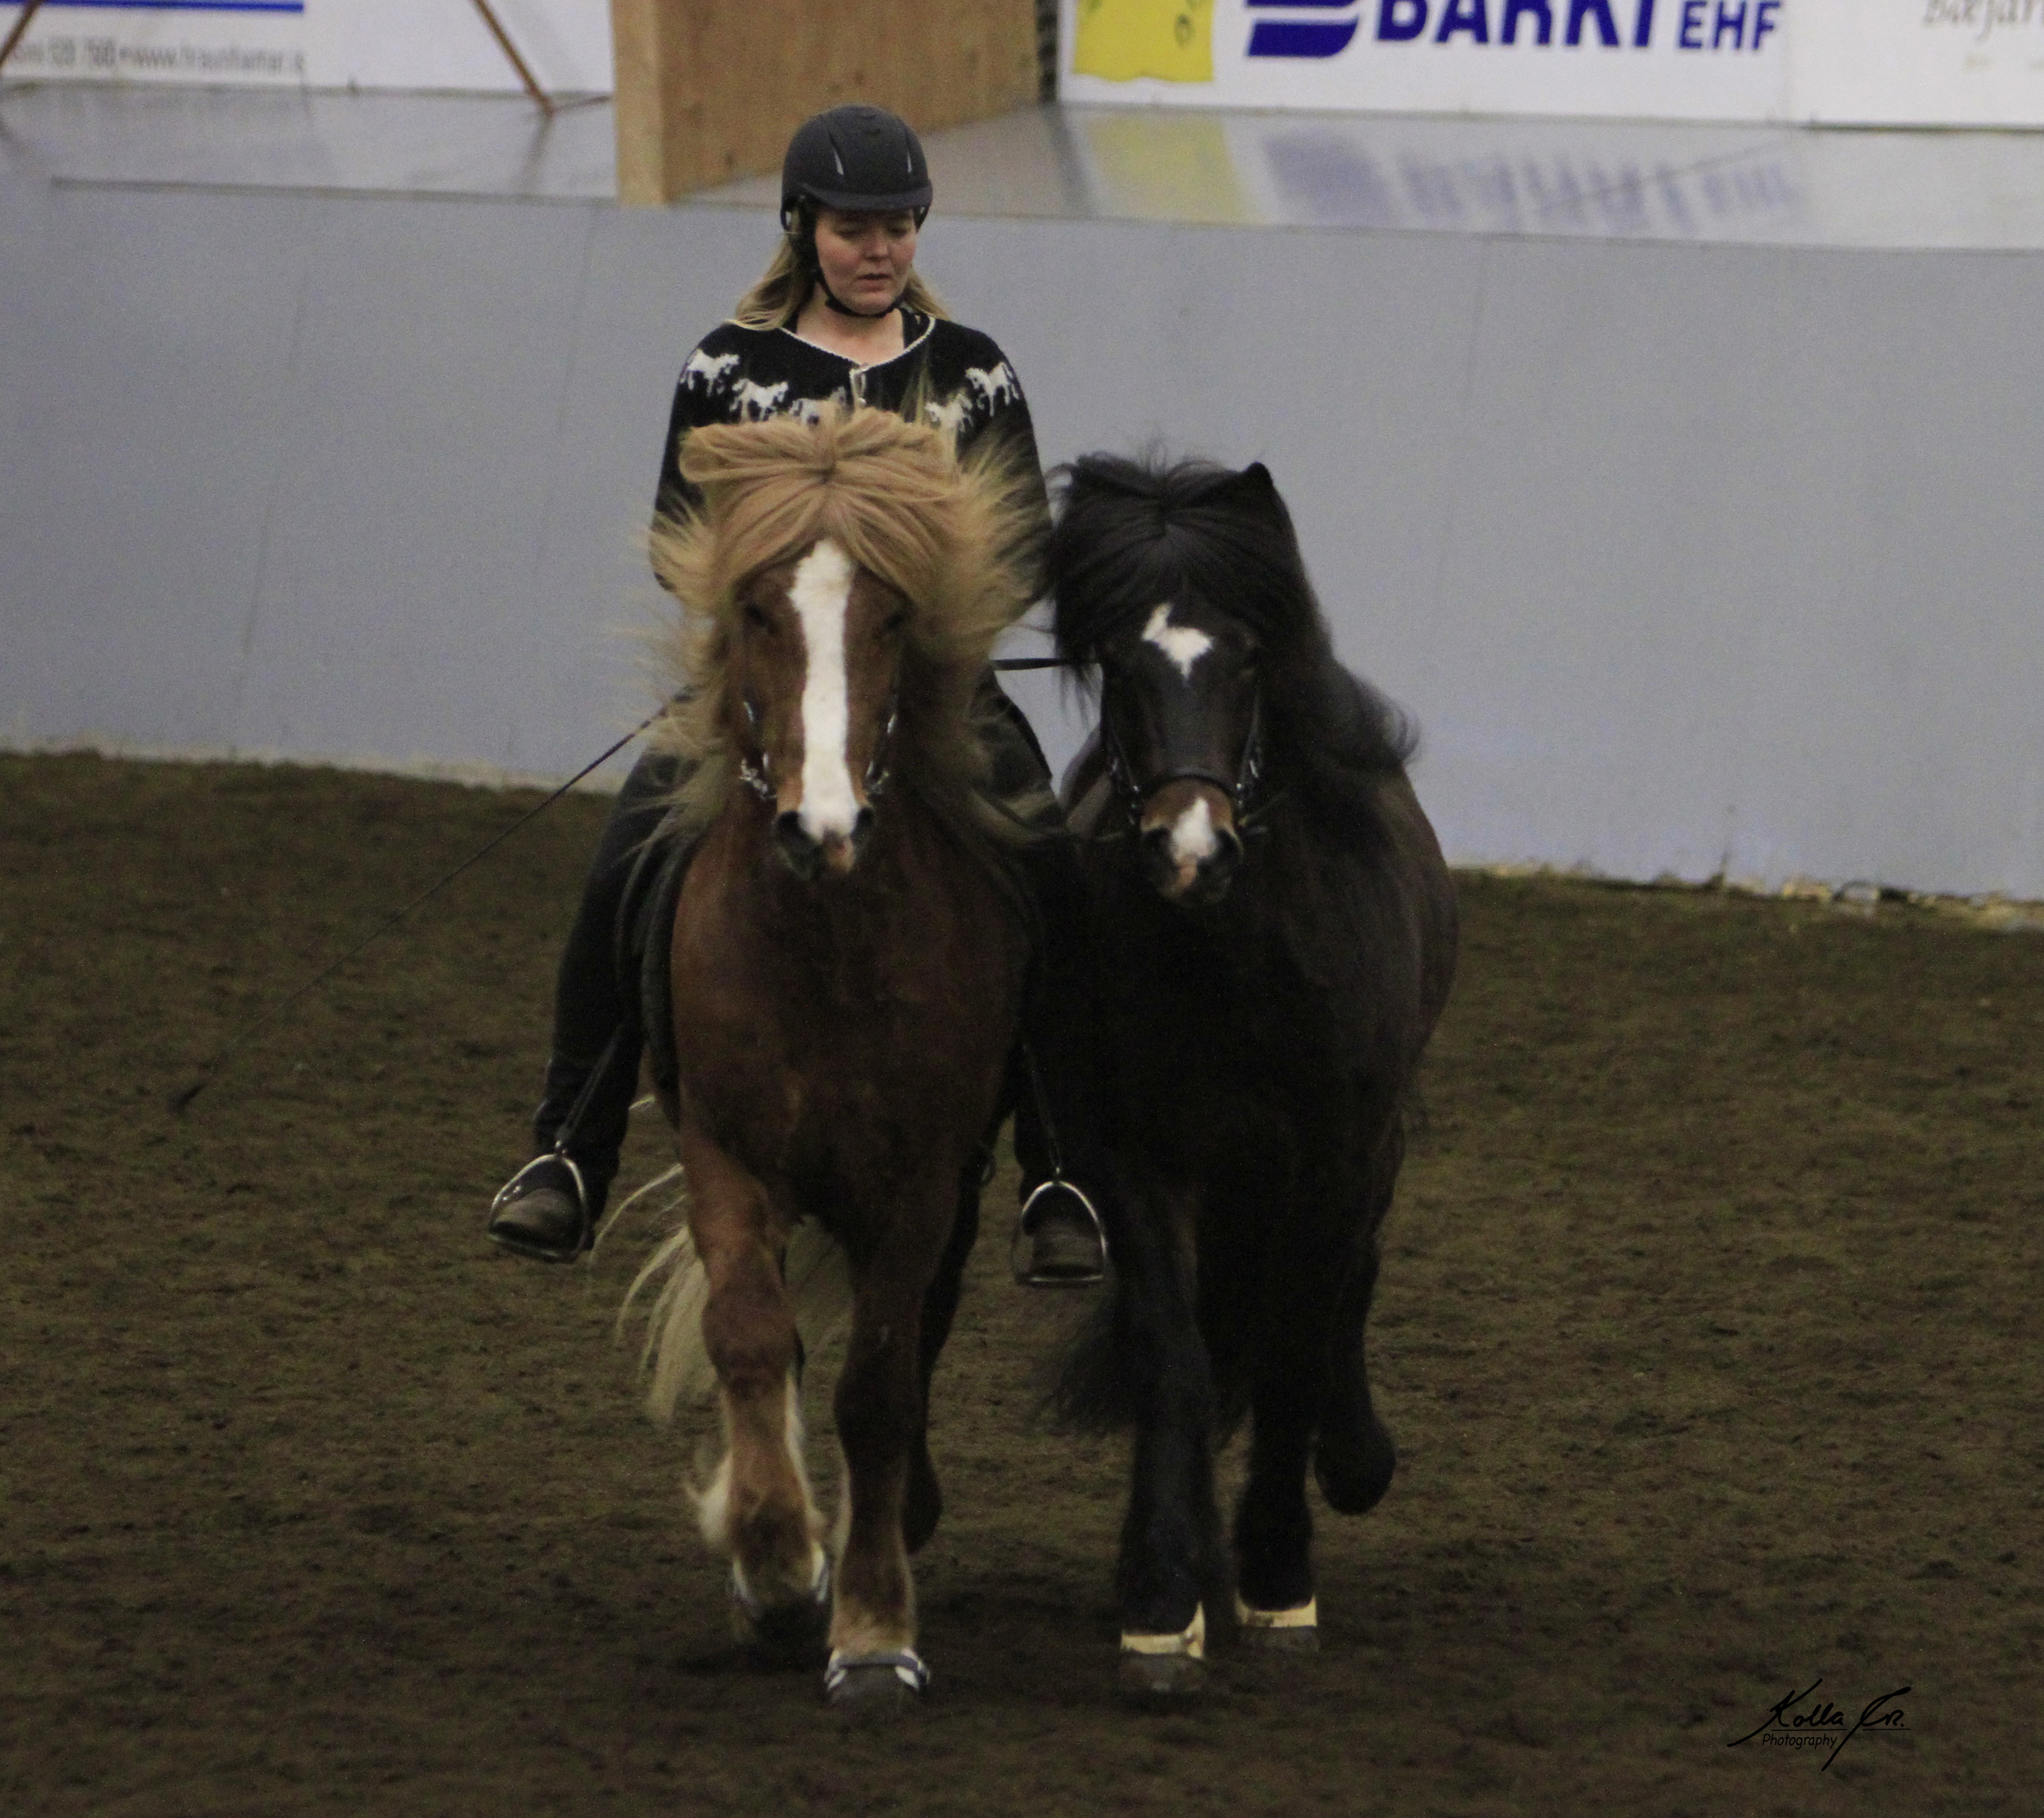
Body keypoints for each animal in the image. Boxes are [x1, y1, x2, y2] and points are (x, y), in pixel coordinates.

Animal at [621, 406, 1038, 1715]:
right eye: (756, 608)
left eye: (893, 615)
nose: (821, 828)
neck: (823, 941)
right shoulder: (725, 1149)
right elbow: (752, 1338)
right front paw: (769, 1560)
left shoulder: (919, 1182)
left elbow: (879, 1385)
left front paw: (868, 1626)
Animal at [1046, 453, 1463, 1699]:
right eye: (1120, 663)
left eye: (1242, 658)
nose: (1192, 854)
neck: (1235, 954)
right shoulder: (1133, 1155)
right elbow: (1176, 1358)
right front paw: (1161, 1599)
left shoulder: (1336, 1151)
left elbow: (1290, 1348)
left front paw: (1280, 1578)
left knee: (1336, 1294)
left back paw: (1352, 1461)